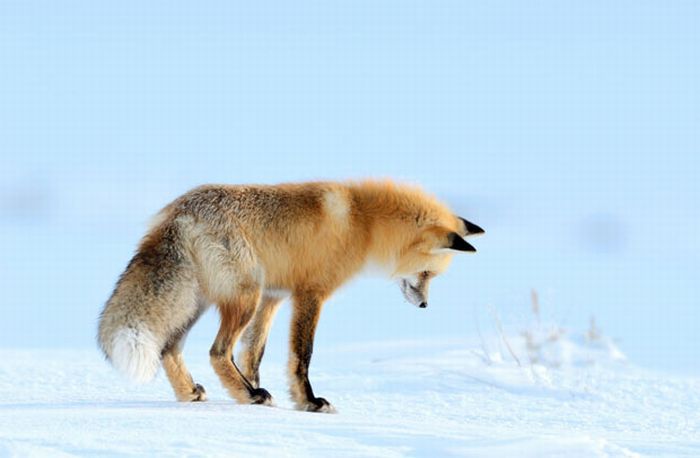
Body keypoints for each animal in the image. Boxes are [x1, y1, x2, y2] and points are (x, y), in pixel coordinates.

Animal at [97, 179, 482, 412]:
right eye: (428, 274)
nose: (425, 305)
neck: (364, 222)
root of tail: (180, 210)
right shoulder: (310, 293)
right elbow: (302, 356)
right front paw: (307, 402)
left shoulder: (274, 297)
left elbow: (254, 354)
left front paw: (265, 395)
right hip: (243, 296)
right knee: (218, 351)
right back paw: (247, 395)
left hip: (204, 300)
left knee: (169, 348)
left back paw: (195, 393)